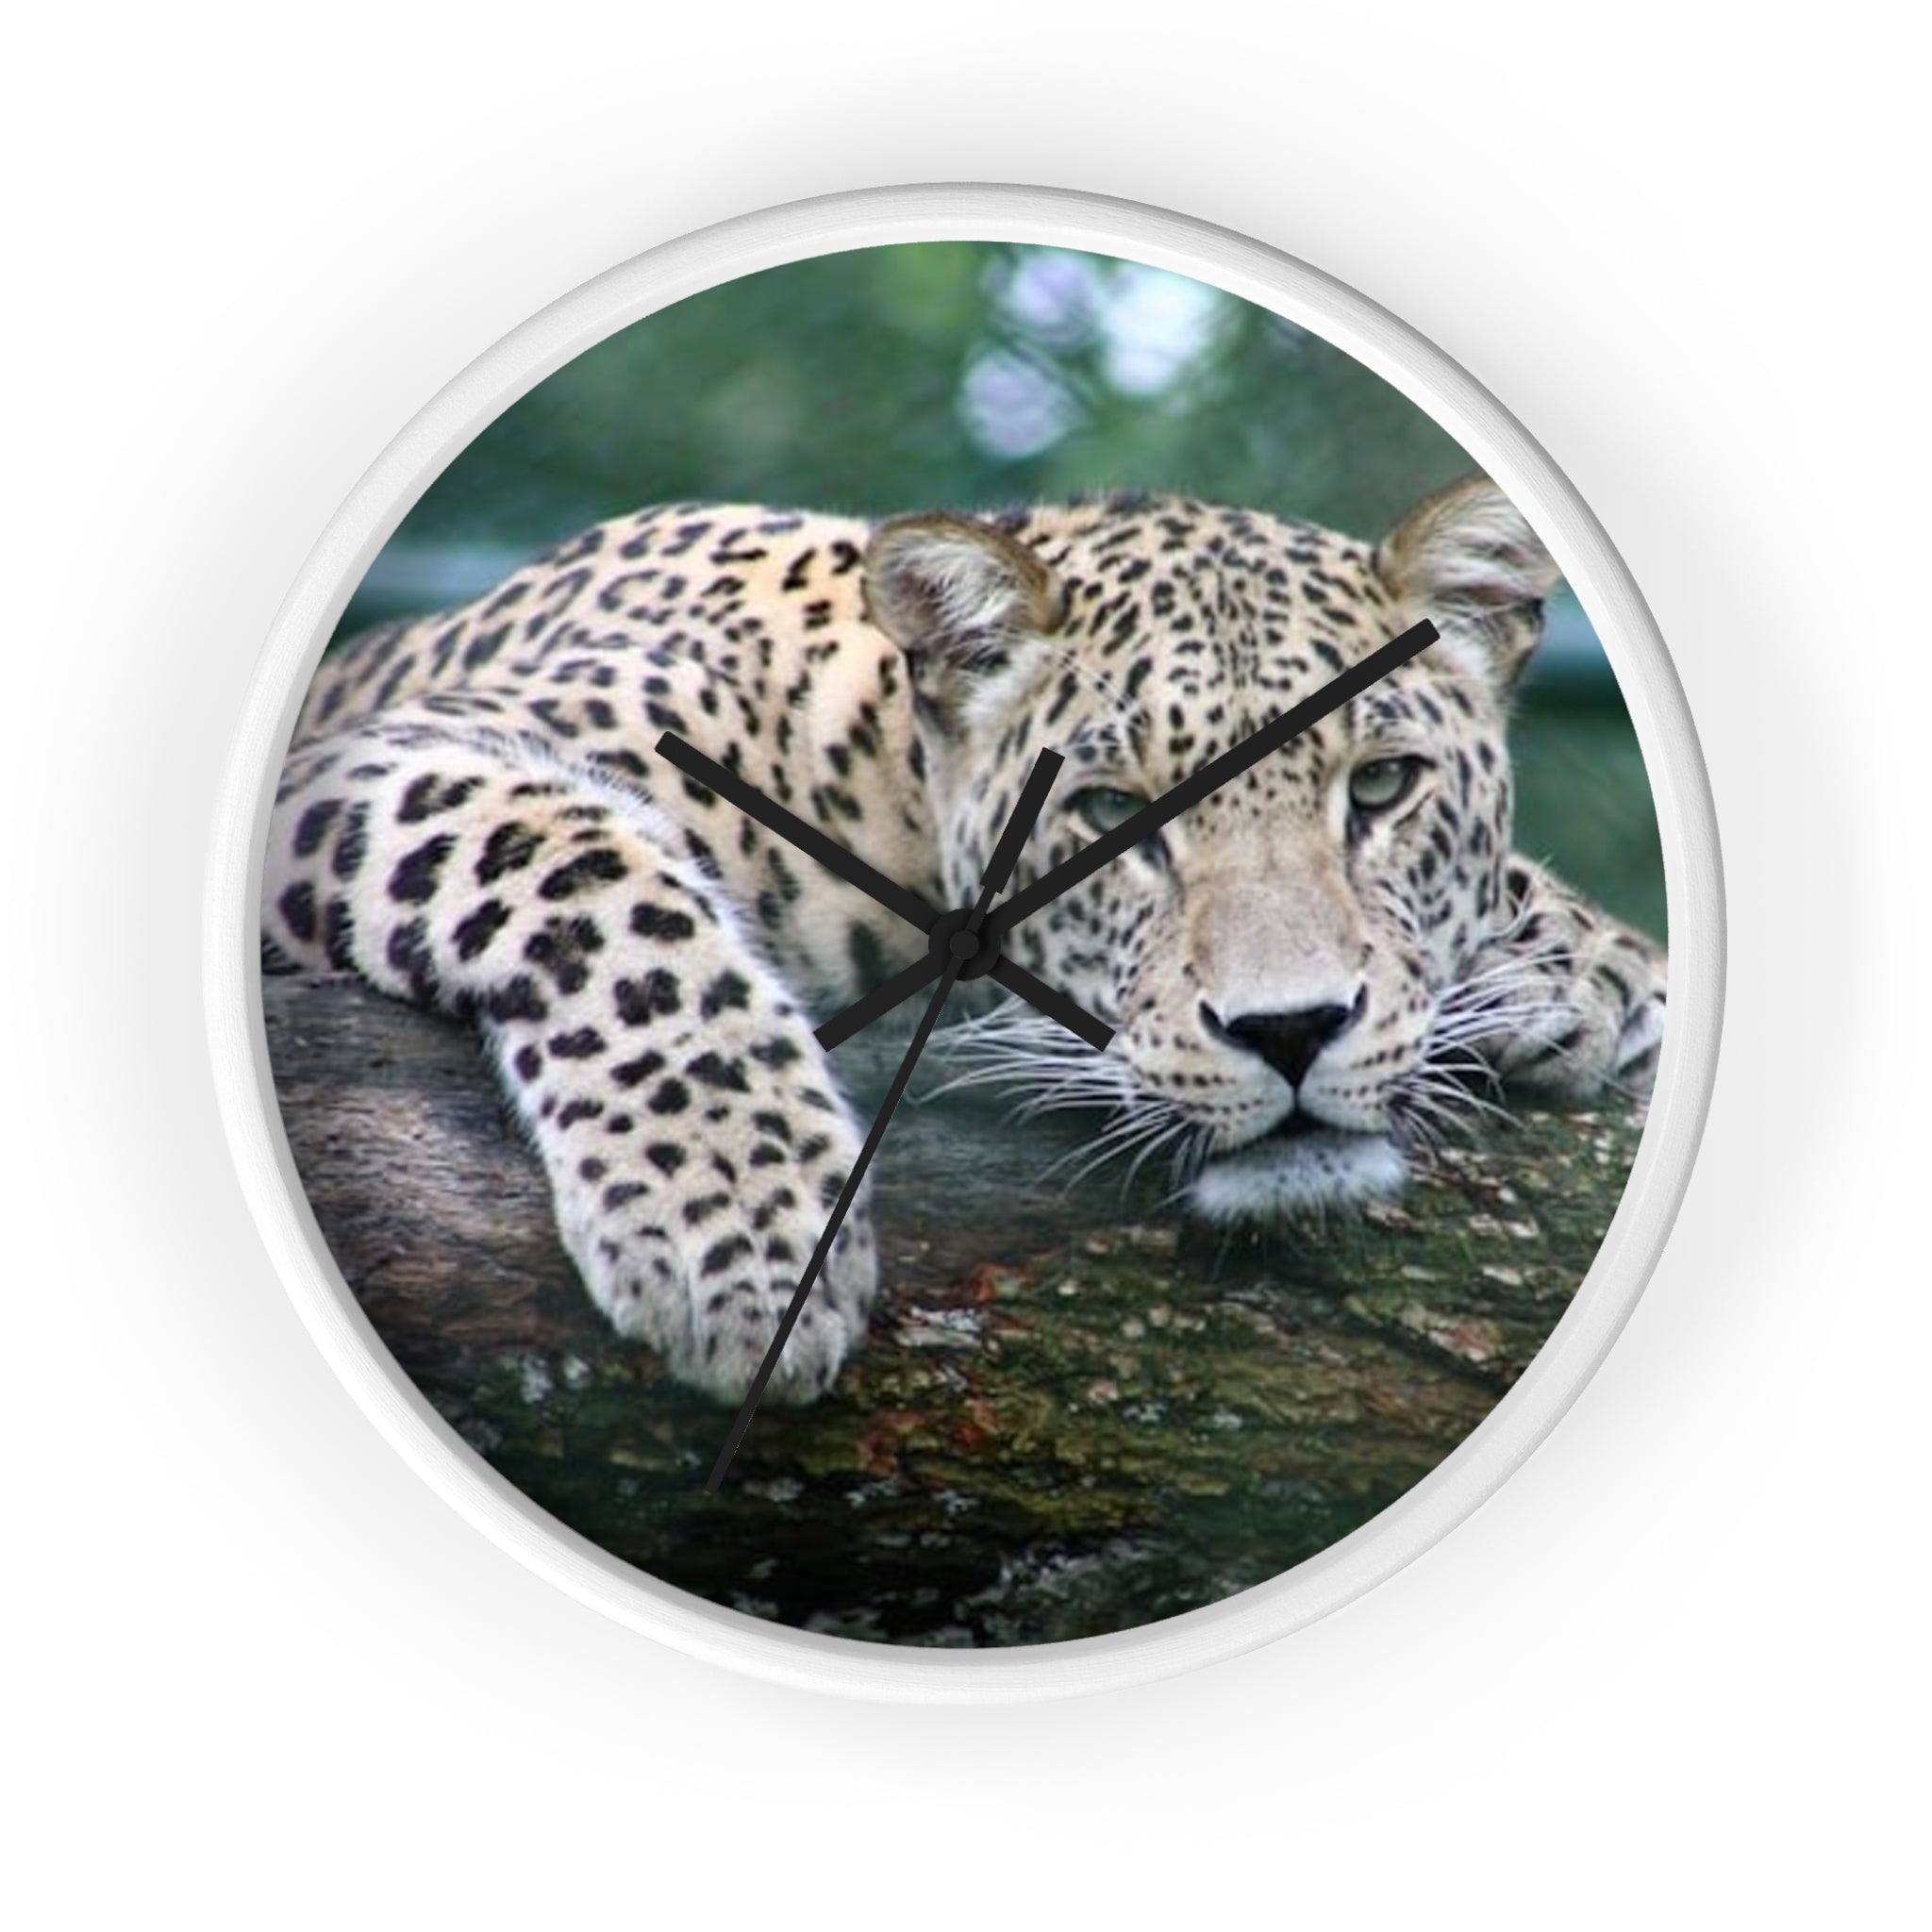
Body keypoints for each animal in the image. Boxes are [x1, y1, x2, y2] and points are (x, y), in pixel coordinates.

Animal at [263, 478, 1666, 1406]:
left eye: (1380, 786)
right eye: (1107, 815)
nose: (1291, 1031)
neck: (877, 778)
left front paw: (1580, 968)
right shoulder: (376, 764)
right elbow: (601, 882)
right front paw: (740, 1227)